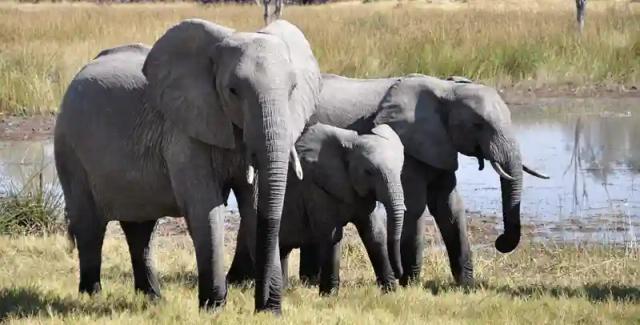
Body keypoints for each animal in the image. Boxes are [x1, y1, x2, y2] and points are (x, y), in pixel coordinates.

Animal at [54, 18, 322, 312]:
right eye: (233, 91)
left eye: (293, 89)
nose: (267, 306)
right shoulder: (184, 132)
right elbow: (205, 208)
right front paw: (213, 308)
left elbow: (253, 206)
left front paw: (267, 311)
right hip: (69, 149)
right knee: (90, 226)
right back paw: (92, 295)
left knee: (141, 229)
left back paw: (153, 298)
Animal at [276, 122, 404, 294]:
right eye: (368, 171)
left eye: (401, 169)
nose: (399, 274)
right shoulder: (317, 187)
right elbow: (331, 235)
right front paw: (329, 295)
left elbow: (375, 234)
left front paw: (390, 292)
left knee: (283, 250)